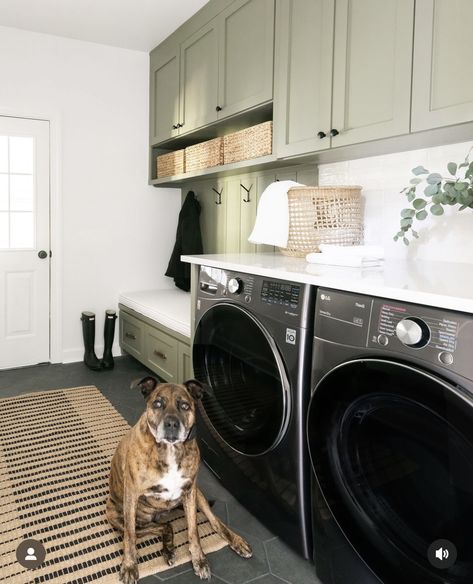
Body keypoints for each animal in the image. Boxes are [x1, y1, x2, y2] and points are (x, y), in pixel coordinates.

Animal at [105, 376, 253, 580]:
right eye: (157, 403)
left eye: (184, 406)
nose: (172, 424)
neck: (169, 449)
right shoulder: (132, 495)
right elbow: (129, 536)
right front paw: (128, 566)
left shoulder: (189, 492)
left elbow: (194, 530)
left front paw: (199, 559)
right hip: (116, 515)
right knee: (156, 527)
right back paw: (167, 547)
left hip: (199, 495)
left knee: (214, 522)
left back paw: (236, 541)